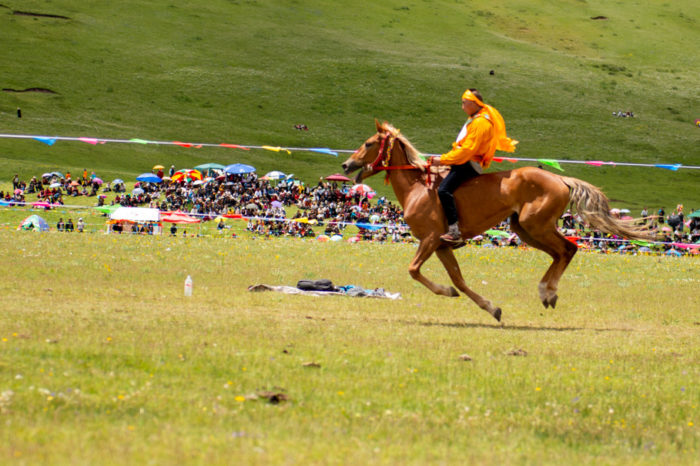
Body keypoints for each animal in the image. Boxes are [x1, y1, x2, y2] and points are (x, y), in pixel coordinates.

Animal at [342, 120, 652, 322]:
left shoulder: (429, 240)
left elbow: (414, 270)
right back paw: (546, 292)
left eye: (369, 143)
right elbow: (459, 281)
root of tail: (559, 178)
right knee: (560, 253)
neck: (418, 188)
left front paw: (446, 292)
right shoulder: (441, 246)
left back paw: (548, 292)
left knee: (568, 249)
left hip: (536, 225)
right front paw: (491, 308)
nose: (346, 165)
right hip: (523, 229)